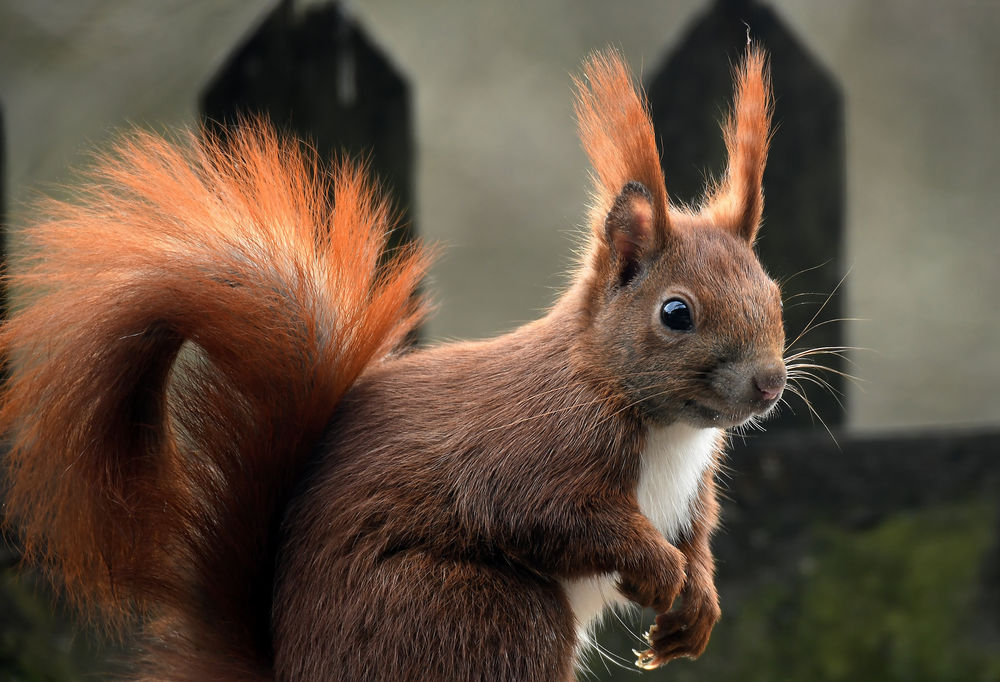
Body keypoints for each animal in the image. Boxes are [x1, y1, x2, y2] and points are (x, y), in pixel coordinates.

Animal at [1, 46, 781, 681]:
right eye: (675, 313)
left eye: (773, 291)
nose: (770, 383)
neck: (660, 423)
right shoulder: (535, 442)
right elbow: (545, 512)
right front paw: (658, 568)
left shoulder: (691, 487)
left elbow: (697, 533)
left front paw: (697, 600)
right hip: (482, 613)